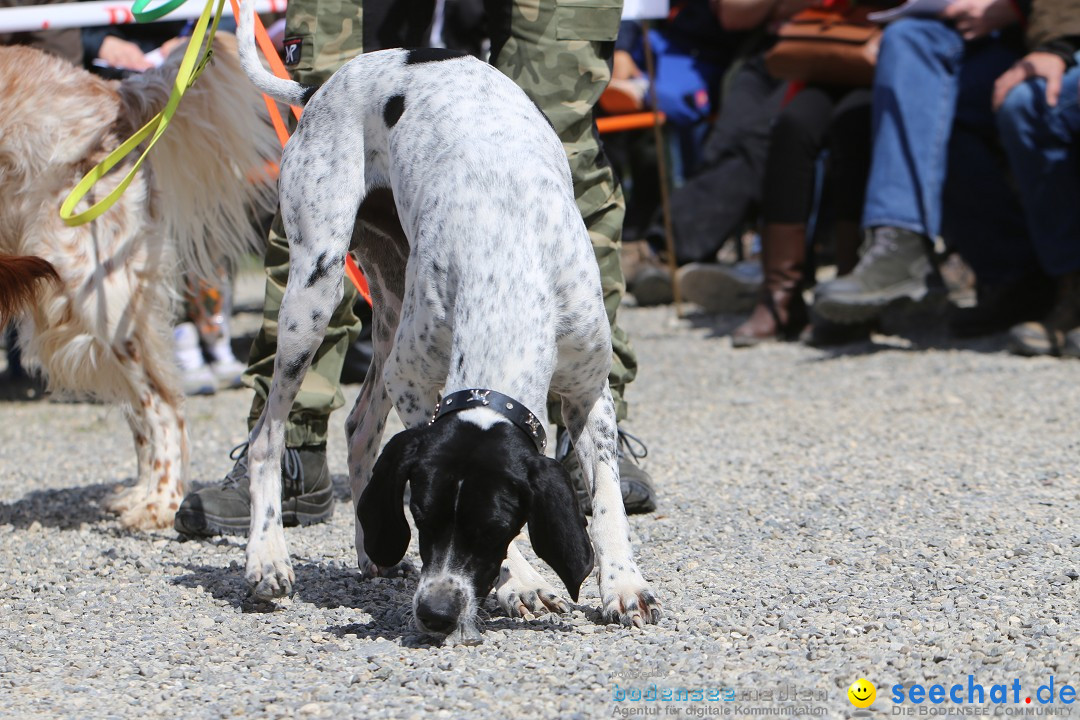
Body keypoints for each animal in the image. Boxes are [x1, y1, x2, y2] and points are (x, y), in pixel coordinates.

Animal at [1, 35, 278, 528]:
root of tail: (114, 94)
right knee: (143, 409)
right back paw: (143, 494)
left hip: (93, 292)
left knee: (163, 403)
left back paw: (160, 503)